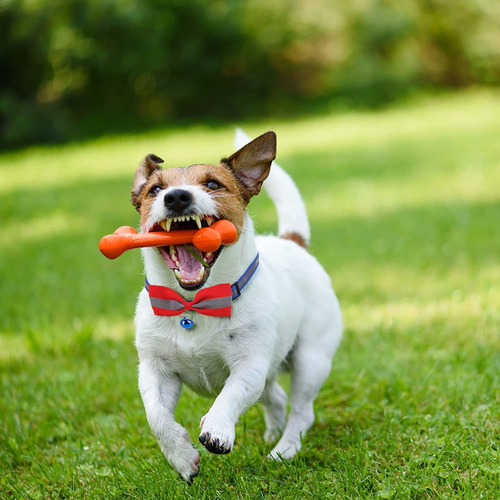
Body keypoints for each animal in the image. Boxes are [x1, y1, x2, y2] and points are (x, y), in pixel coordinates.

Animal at [131, 130, 342, 484]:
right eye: (155, 190)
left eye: (213, 184)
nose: (176, 197)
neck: (195, 304)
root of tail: (291, 242)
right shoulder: (155, 370)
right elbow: (156, 416)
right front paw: (181, 457)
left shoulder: (250, 364)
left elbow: (231, 393)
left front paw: (217, 429)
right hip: (272, 371)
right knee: (276, 398)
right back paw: (272, 435)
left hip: (310, 360)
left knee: (301, 411)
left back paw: (284, 450)